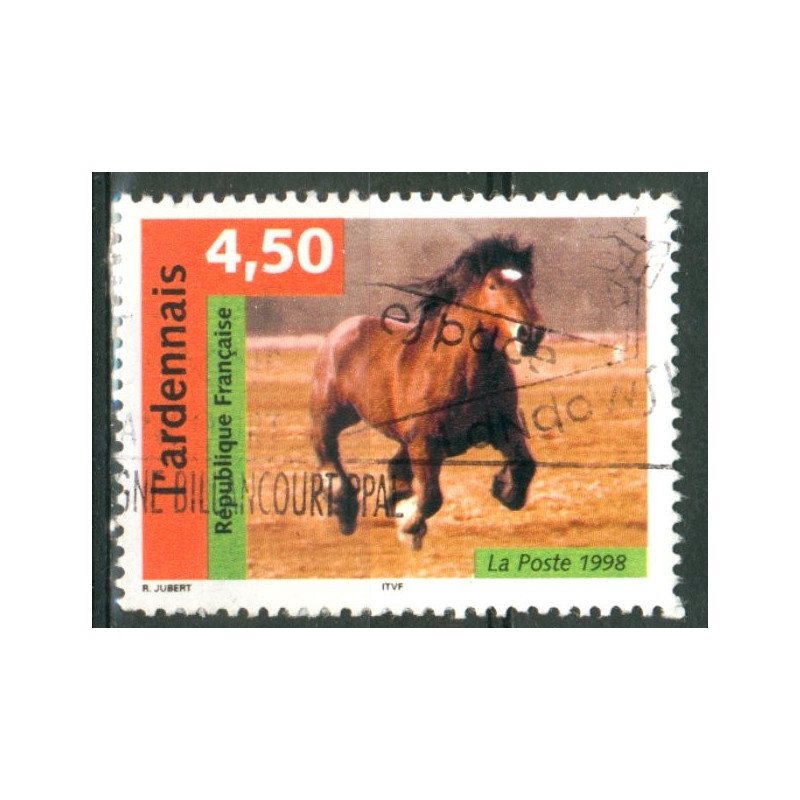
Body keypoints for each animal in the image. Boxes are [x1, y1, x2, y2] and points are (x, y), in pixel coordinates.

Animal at [309, 235, 546, 550]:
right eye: (493, 285)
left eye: (530, 283)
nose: (530, 334)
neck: (462, 373)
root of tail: (340, 331)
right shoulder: (425, 443)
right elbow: (432, 497)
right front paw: (410, 527)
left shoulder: (502, 428)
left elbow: (524, 466)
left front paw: (503, 489)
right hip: (333, 414)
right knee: (326, 449)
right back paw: (344, 510)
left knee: (391, 465)